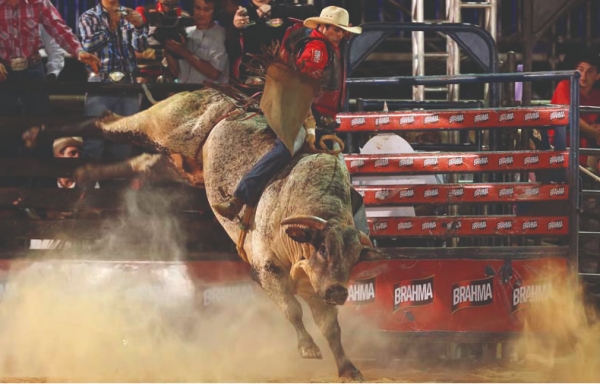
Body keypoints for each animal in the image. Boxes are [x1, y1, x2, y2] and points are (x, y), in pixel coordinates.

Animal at [27, 88, 380, 380]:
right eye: (323, 248)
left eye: (354, 257)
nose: (339, 292)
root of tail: (225, 99)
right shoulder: (267, 268)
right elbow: (292, 309)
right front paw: (307, 347)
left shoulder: (314, 285)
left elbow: (330, 326)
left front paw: (348, 367)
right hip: (165, 124)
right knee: (106, 122)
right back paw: (36, 131)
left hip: (177, 164)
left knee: (140, 162)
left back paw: (84, 171)